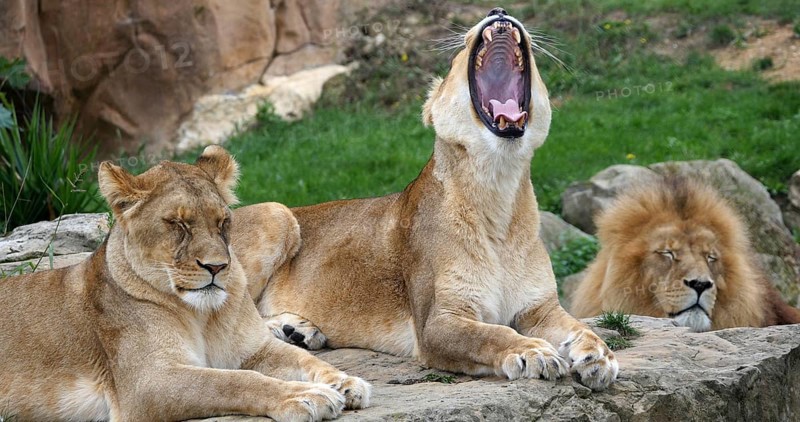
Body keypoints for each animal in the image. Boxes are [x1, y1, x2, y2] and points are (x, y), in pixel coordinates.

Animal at [0, 146, 370, 421]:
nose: (217, 266)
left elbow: (306, 362)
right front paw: (306, 396)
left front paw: (345, 383)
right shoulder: (148, 383)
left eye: (222, 222)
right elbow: (235, 382)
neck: (202, 316)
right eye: (178, 224)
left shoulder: (254, 350)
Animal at [233, 8, 618, 390]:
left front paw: (598, 356)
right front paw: (533, 351)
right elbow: (493, 334)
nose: (498, 11)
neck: (499, 190)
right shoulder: (437, 323)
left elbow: (579, 327)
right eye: (455, 57)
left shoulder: (540, 309)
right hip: (278, 213)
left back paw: (297, 330)